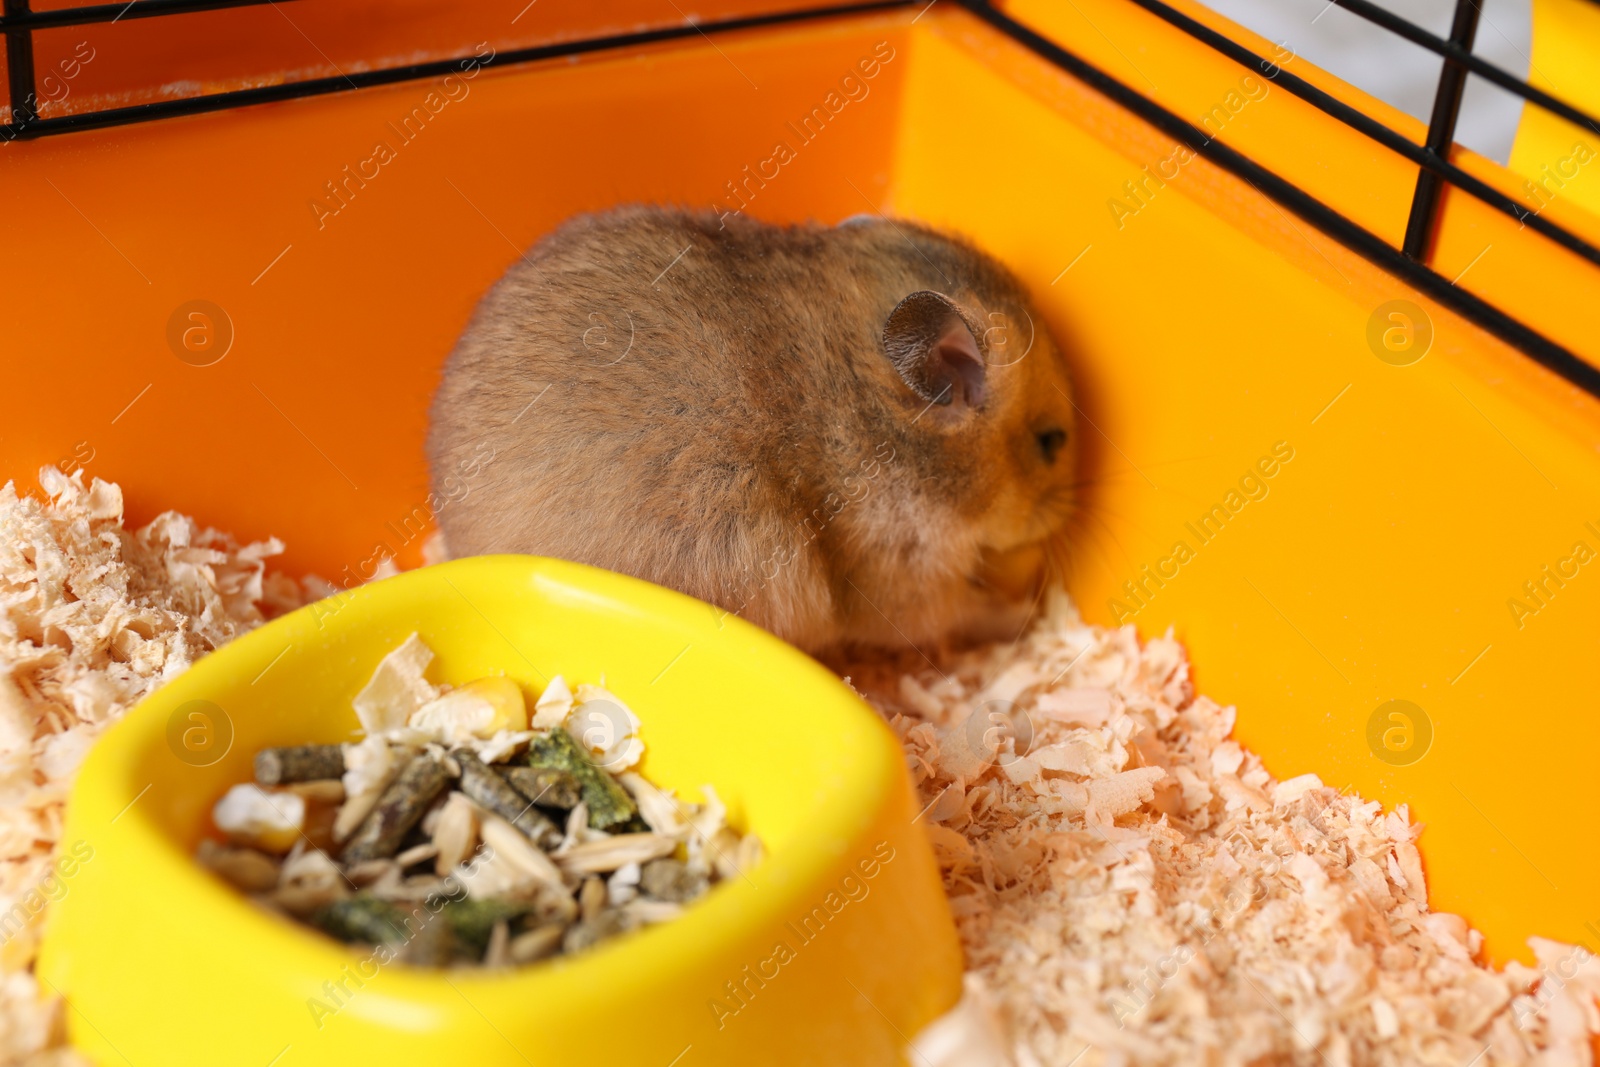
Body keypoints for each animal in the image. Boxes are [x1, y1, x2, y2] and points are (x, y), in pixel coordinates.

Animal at [428, 204, 1075, 655]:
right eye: (1052, 442)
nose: (1063, 515)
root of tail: (454, 543)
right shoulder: (906, 576)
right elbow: (964, 611)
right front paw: (1023, 611)